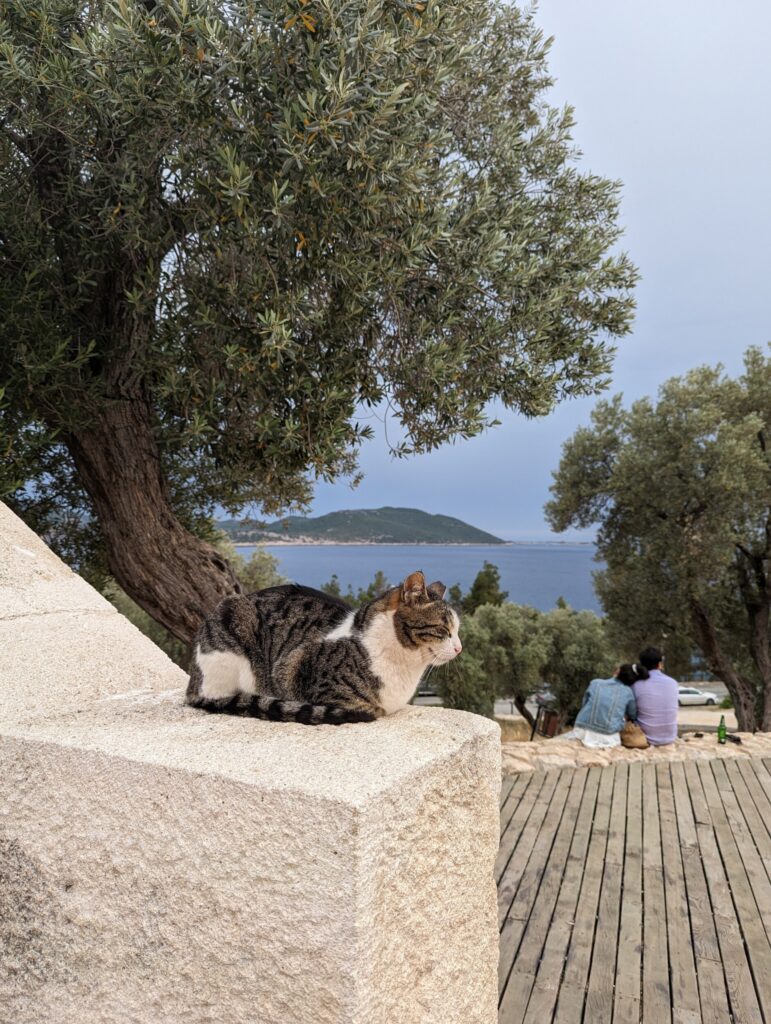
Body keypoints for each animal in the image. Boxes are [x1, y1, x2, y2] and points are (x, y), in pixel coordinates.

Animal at [185, 573, 462, 724]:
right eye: (444, 629)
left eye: (458, 630)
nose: (459, 648)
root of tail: (193, 685)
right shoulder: (293, 665)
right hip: (234, 623)